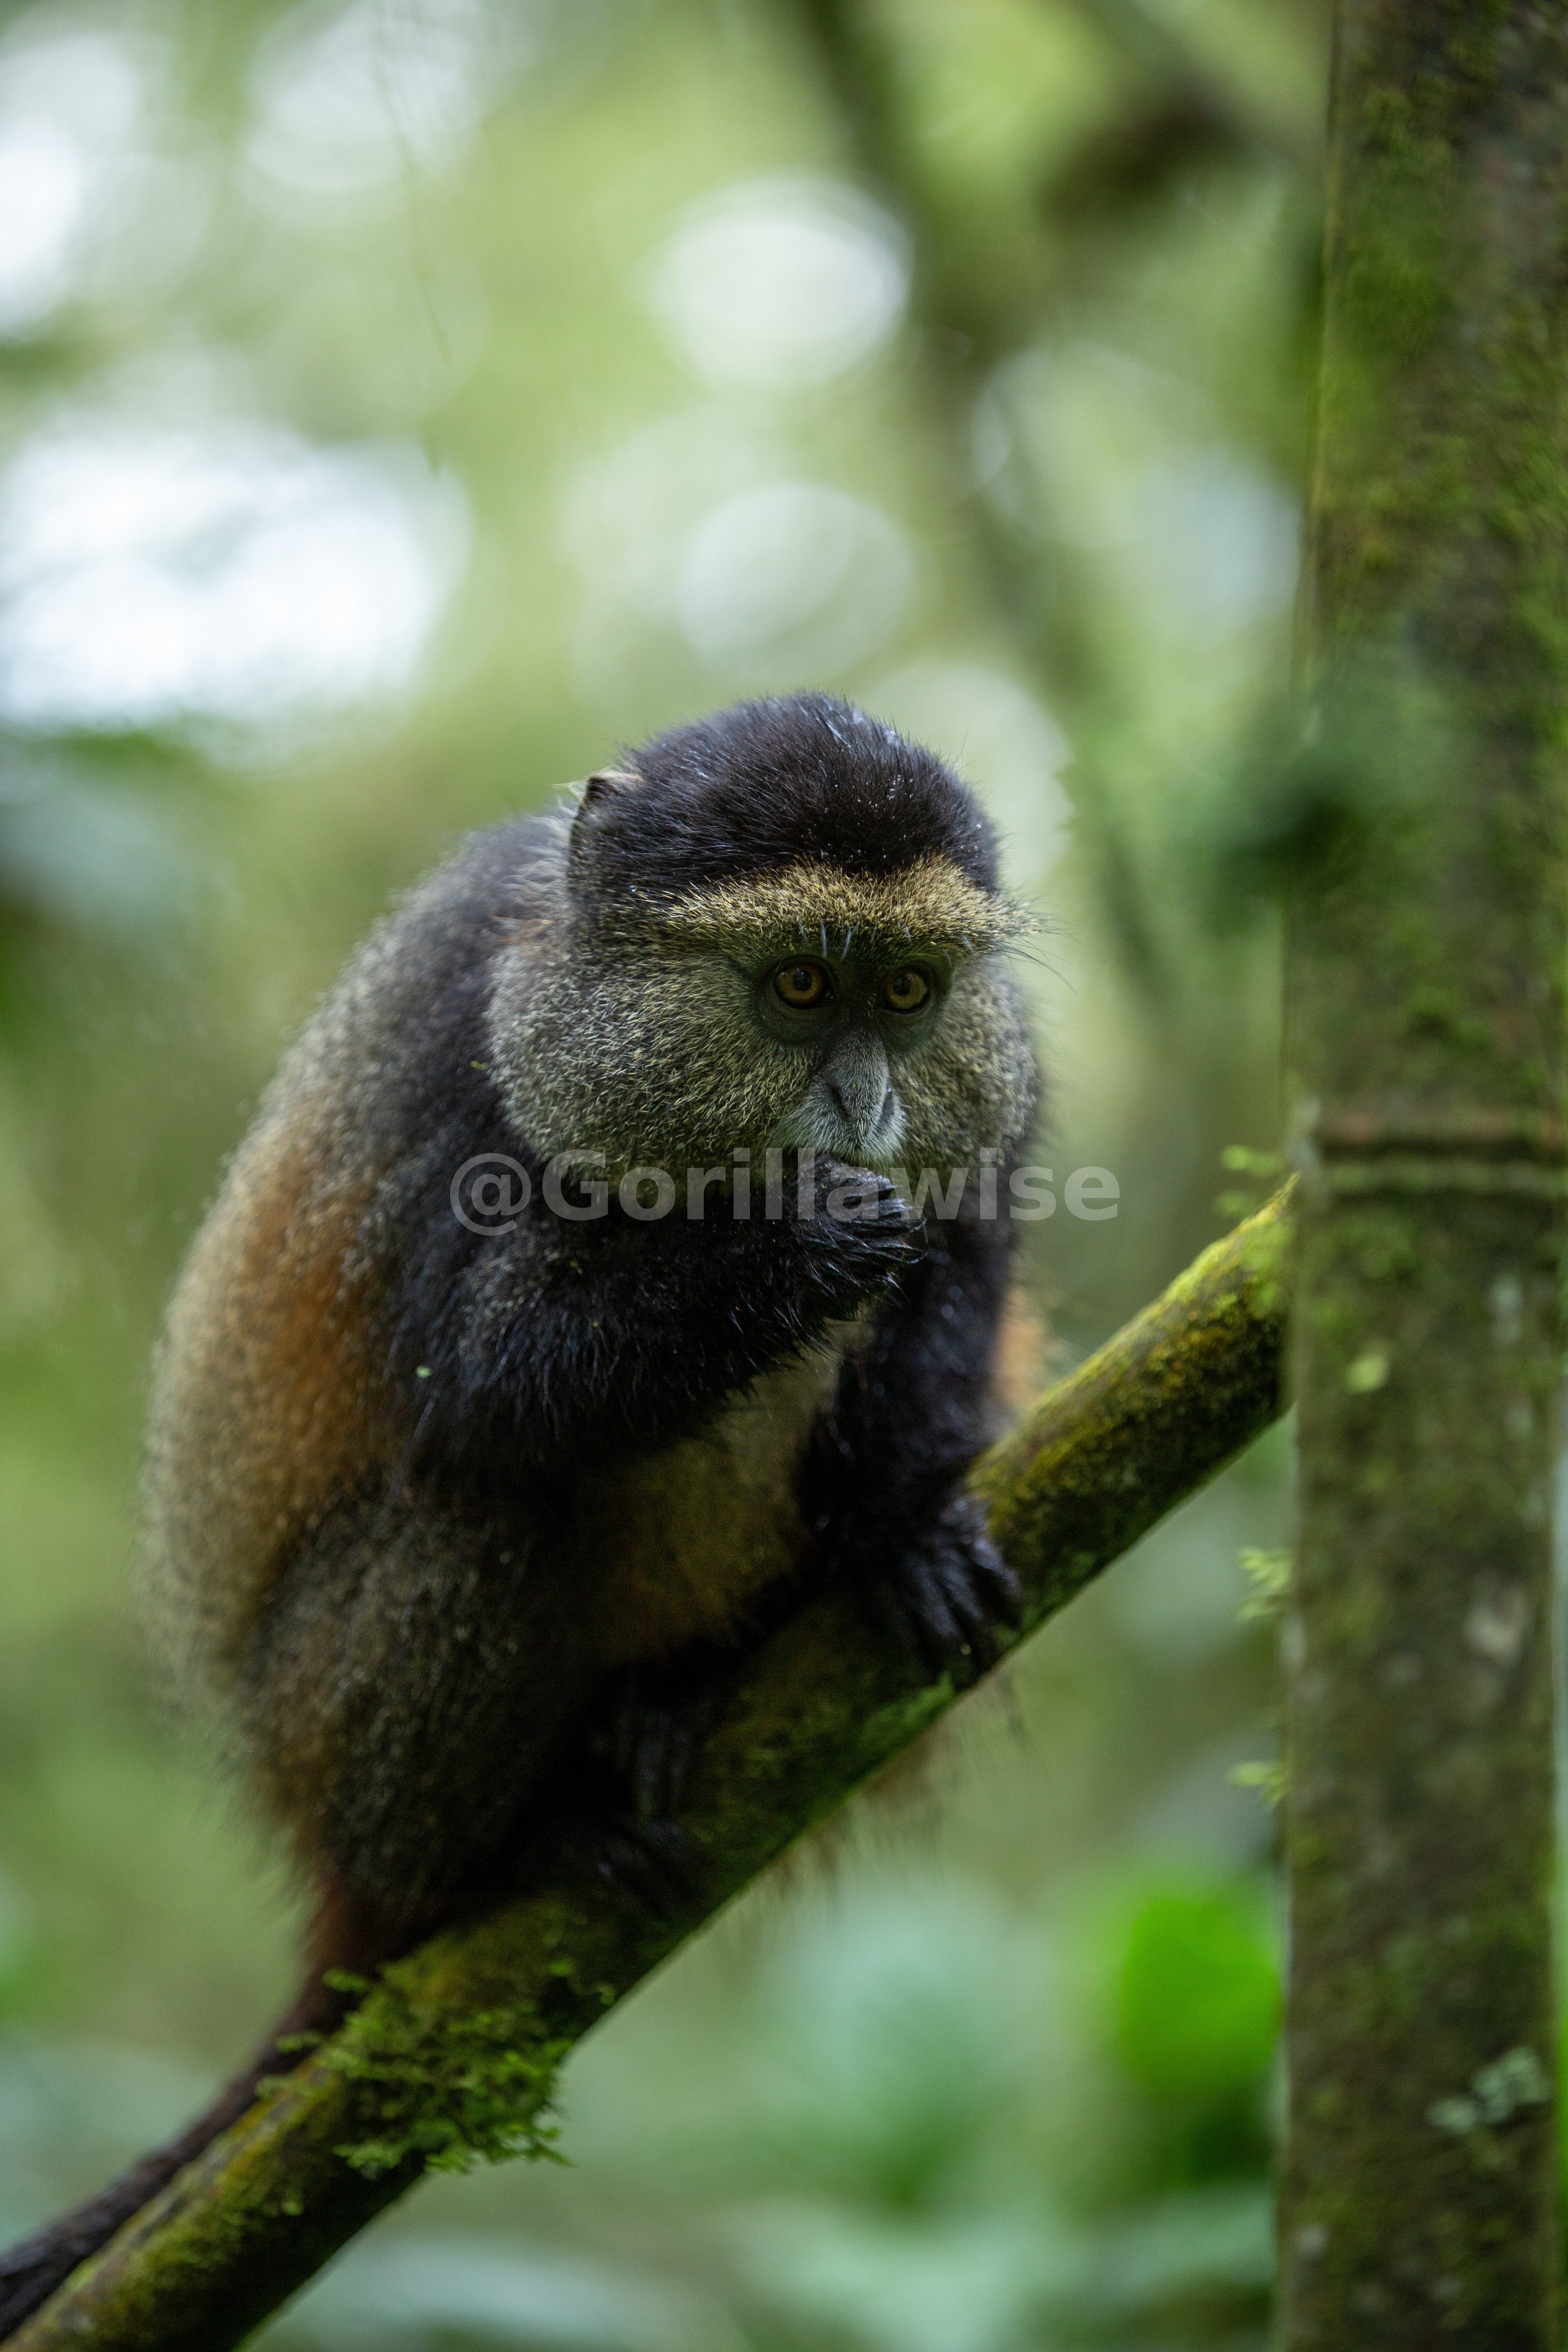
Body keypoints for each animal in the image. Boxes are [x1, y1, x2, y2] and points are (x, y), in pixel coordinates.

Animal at [0, 691, 1039, 2332]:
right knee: (477, 1518)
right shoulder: (449, 1035)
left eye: (910, 990)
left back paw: (675, 1701)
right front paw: (795, 1242)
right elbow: (483, 1386)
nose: (867, 1109)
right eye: (801, 984)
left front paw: (905, 1527)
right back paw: (530, 1838)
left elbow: (967, 1245)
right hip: (341, 1730)